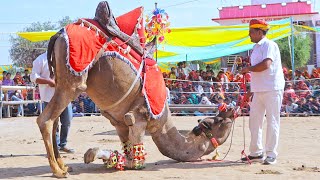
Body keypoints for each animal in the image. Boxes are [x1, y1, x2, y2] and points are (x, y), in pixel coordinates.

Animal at [37, 1, 238, 177]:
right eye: (217, 121)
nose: (231, 109)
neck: (162, 126)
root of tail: (58, 35)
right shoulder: (139, 117)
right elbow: (135, 162)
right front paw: (93, 153)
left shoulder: (119, 122)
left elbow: (127, 152)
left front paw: (99, 156)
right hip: (74, 80)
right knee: (45, 120)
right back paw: (58, 171)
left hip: (61, 80)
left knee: (55, 121)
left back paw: (64, 165)